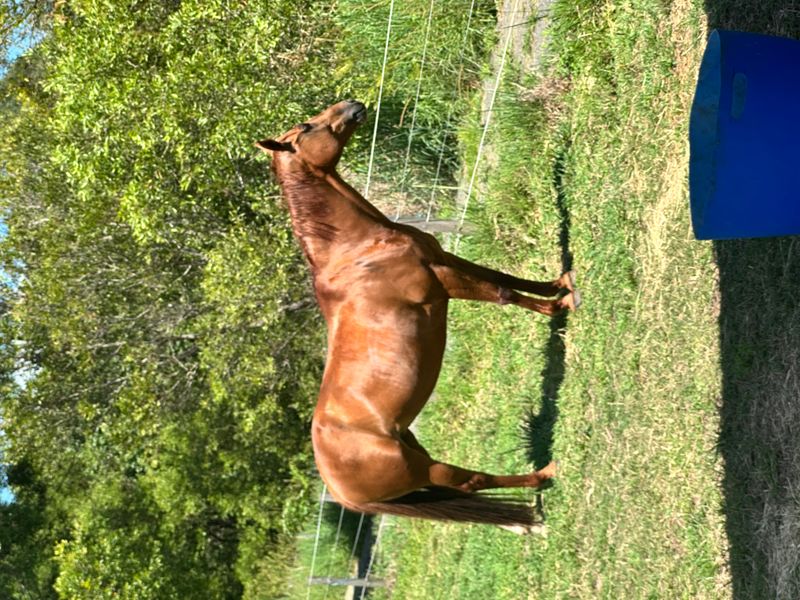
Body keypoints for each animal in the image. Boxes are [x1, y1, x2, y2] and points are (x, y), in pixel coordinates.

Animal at [256, 100, 579, 533]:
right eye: (307, 127)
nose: (353, 104)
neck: (357, 251)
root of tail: (339, 491)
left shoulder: (445, 260)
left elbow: (503, 277)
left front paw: (560, 282)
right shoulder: (442, 282)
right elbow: (504, 294)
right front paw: (562, 304)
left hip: (414, 449)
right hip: (424, 469)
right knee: (471, 481)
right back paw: (546, 474)